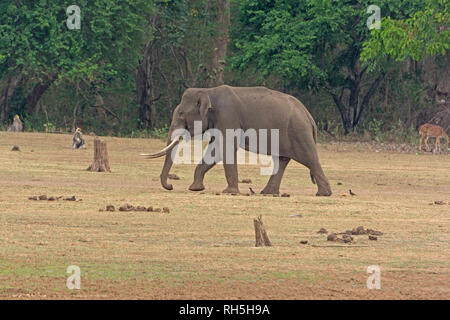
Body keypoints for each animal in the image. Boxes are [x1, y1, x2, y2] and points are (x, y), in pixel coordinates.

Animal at [142, 85, 332, 195]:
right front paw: (195, 188)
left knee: (310, 159)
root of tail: (308, 115)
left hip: (298, 132)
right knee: (282, 160)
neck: (208, 90)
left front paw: (229, 192)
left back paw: (323, 194)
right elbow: (215, 151)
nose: (170, 186)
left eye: (181, 114)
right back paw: (267, 193)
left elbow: (226, 149)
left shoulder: (227, 116)